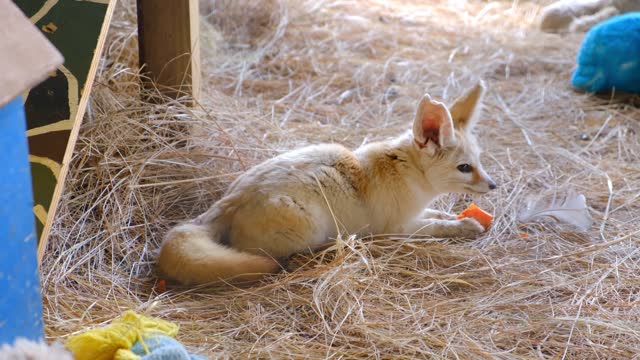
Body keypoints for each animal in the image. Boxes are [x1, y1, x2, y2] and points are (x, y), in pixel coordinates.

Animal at [158, 81, 498, 284]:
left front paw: (458, 216)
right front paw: (464, 226)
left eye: (479, 161)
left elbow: (439, 215)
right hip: (309, 227)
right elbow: (437, 227)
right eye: (465, 168)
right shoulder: (397, 228)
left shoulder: (415, 213)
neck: (405, 169)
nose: (493, 185)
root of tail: (229, 201)